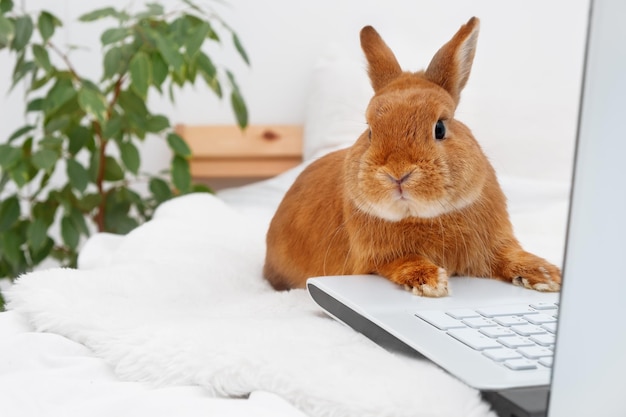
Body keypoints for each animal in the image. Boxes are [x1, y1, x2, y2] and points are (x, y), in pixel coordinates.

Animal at [264, 16, 560, 296]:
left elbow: (509, 256)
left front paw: (547, 275)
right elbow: (403, 262)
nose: (397, 174)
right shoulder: (378, 259)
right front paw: (430, 281)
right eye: (370, 131)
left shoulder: (493, 246)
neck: (423, 216)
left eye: (440, 128)